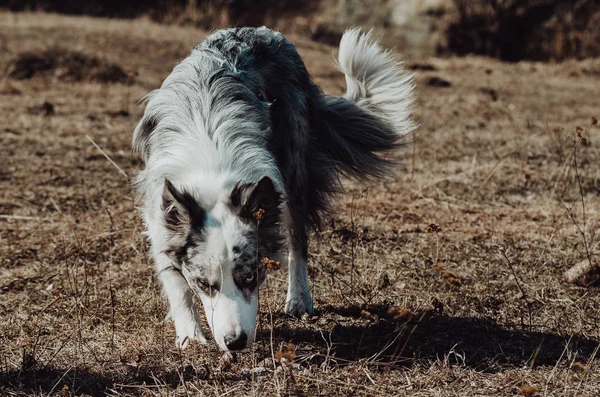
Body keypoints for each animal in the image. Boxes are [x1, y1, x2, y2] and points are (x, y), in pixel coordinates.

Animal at [132, 27, 412, 350]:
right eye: (204, 284)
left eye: (250, 277)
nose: (235, 342)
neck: (211, 162)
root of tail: (261, 31)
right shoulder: (160, 214)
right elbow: (175, 278)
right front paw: (190, 335)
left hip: (294, 171)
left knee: (298, 240)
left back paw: (299, 299)